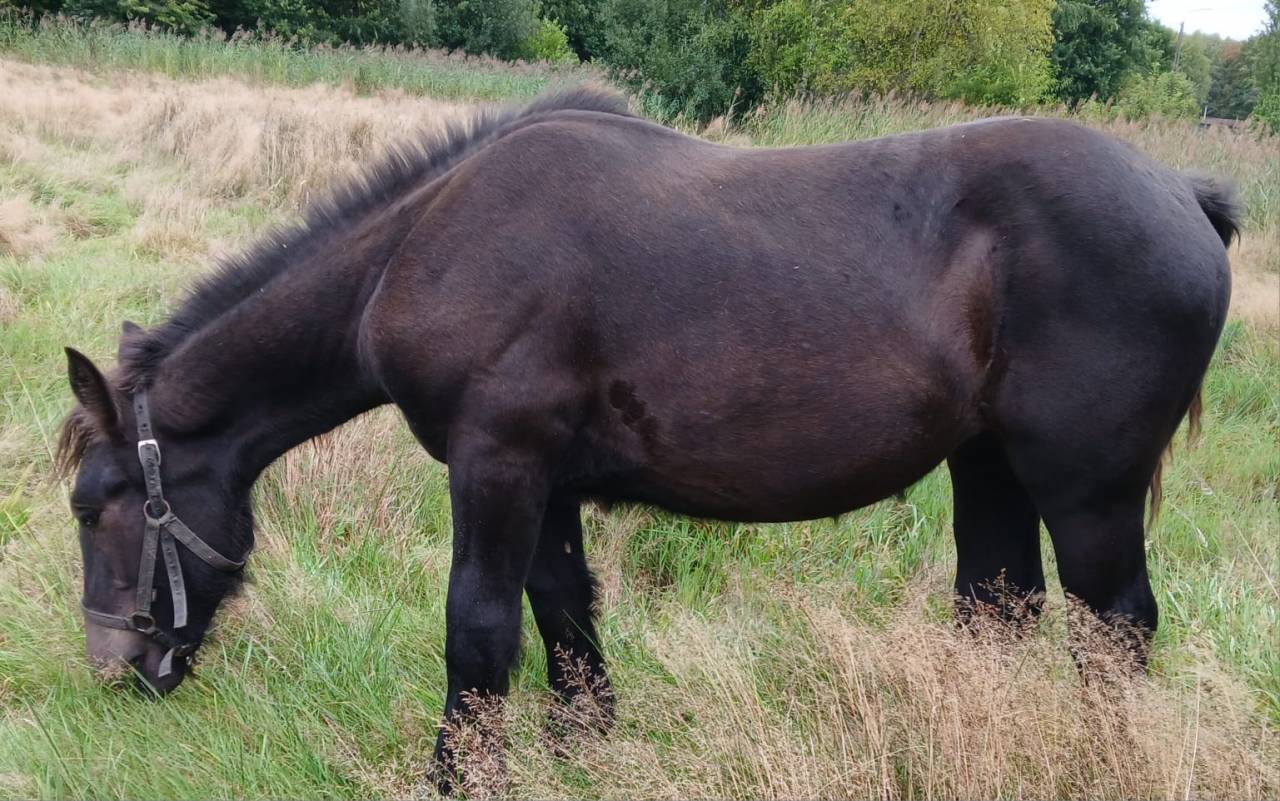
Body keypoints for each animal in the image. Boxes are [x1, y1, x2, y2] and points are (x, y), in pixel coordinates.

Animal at [58, 86, 1236, 791]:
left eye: (97, 503)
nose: (118, 667)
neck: (428, 246)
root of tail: (1181, 194)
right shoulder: (545, 485)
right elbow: (564, 618)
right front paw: (583, 752)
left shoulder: (498, 466)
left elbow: (478, 633)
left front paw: (460, 774)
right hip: (986, 467)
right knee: (999, 612)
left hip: (1084, 489)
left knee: (1114, 628)